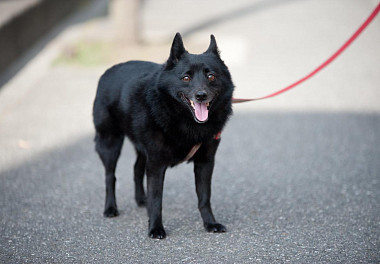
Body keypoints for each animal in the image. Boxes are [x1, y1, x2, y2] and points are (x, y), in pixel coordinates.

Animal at [93, 33, 233, 239]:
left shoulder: (205, 162)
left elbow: (204, 197)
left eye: (211, 76)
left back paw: (141, 199)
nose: (201, 95)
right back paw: (111, 208)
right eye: (186, 77)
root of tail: (108, 71)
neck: (184, 121)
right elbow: (157, 200)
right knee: (110, 176)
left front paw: (210, 223)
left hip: (141, 148)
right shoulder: (156, 163)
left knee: (136, 168)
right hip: (110, 143)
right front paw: (155, 228)